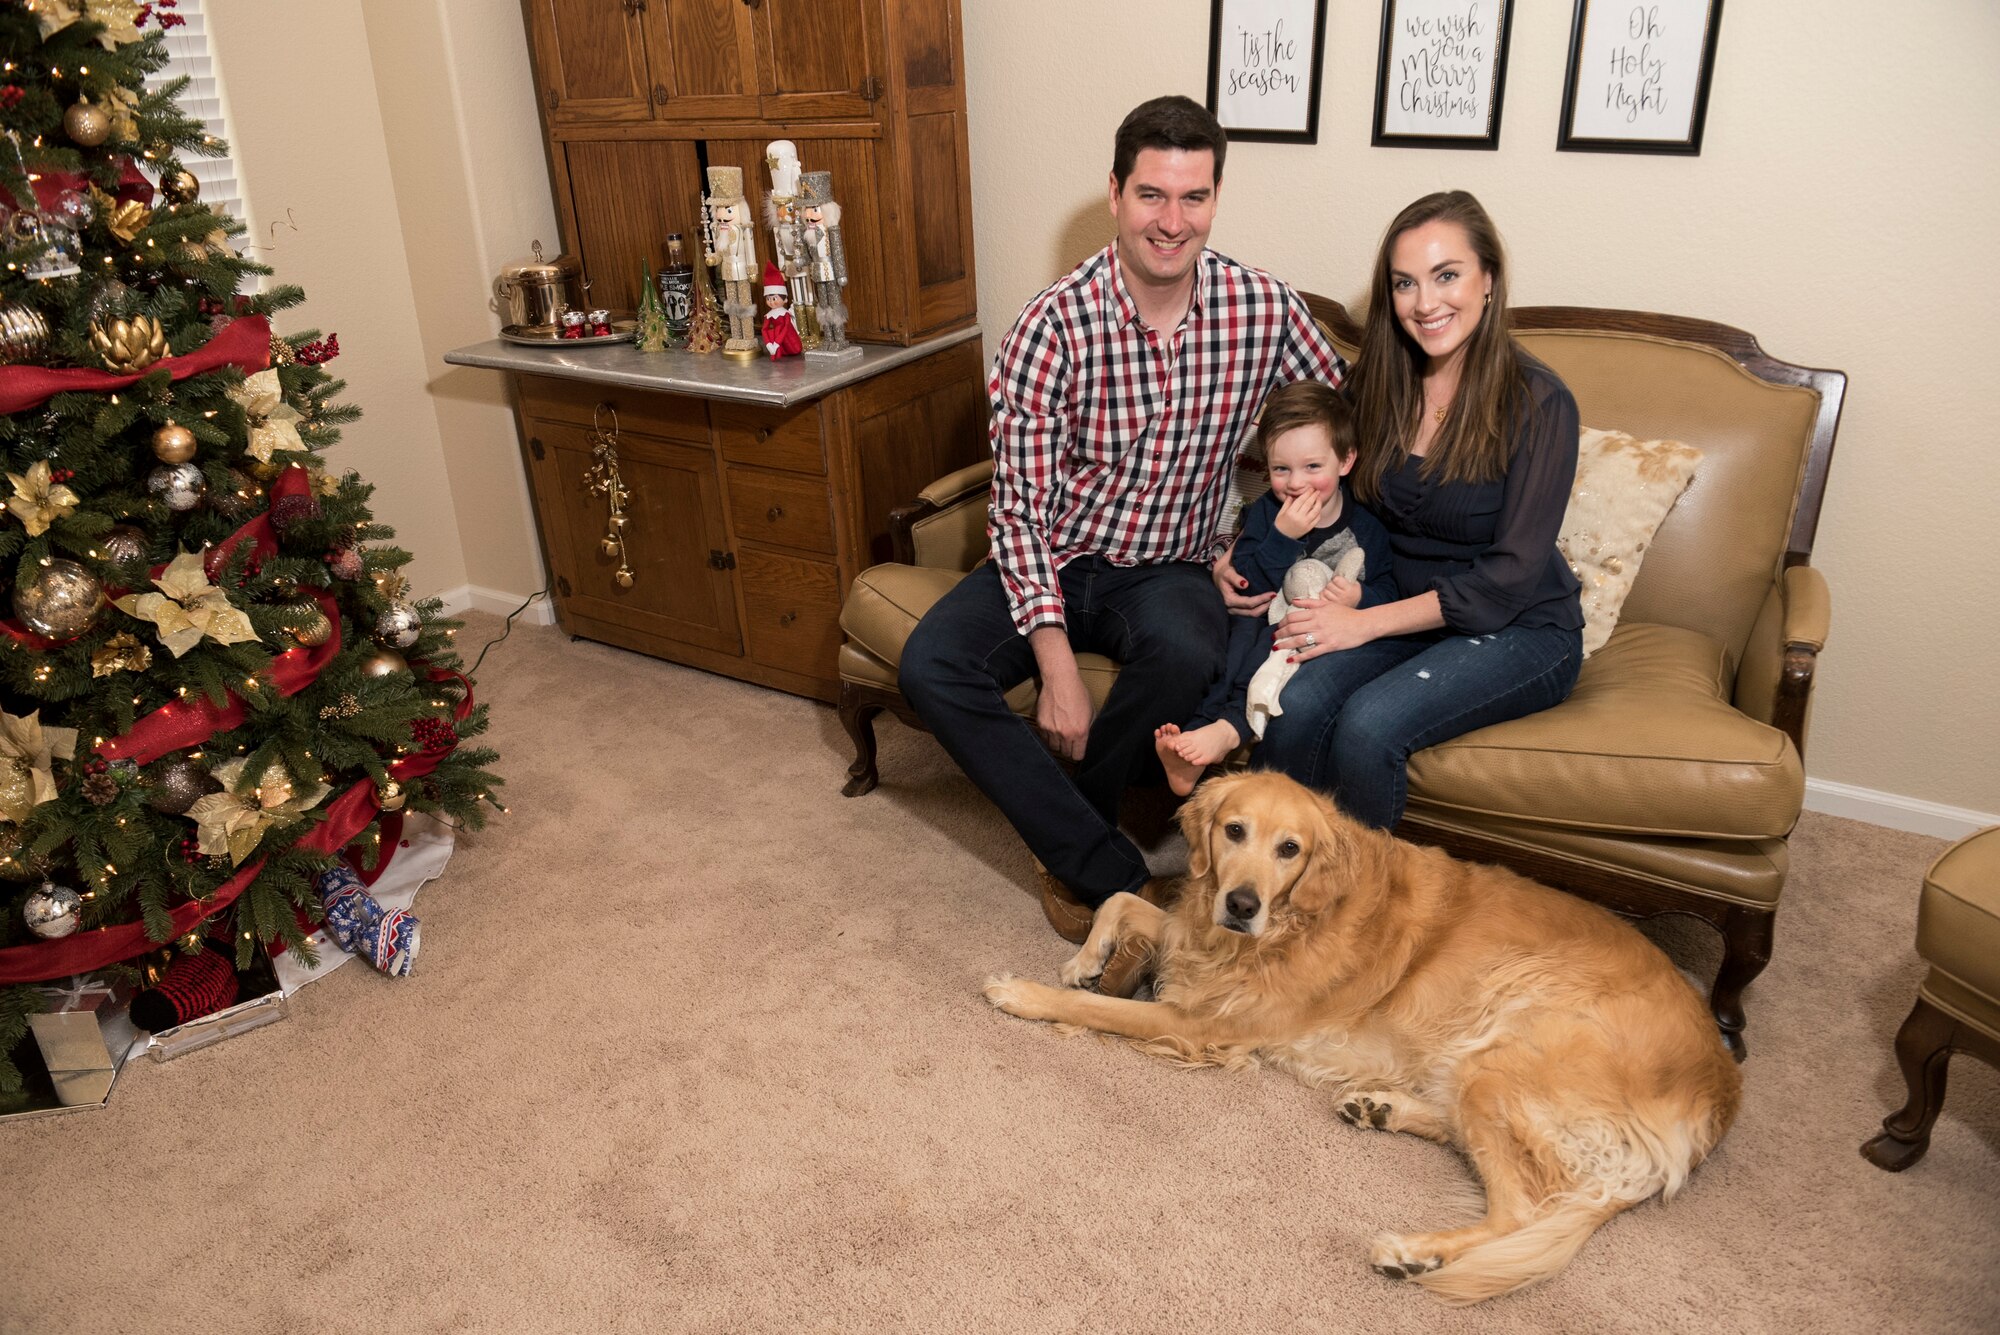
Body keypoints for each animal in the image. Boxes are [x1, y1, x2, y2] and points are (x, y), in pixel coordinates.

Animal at [992, 771, 1744, 1303]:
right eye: (1234, 830)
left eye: (1289, 849)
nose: (1241, 904)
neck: (1293, 920)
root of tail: (1719, 1093)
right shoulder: (1197, 942)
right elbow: (1121, 900)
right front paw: (1086, 959)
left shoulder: (1202, 1020)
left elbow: (1103, 1008)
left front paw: (1024, 992)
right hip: (1472, 1060)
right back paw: (1379, 1107)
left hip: (1505, 1053)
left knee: (1523, 1209)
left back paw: (1416, 1252)